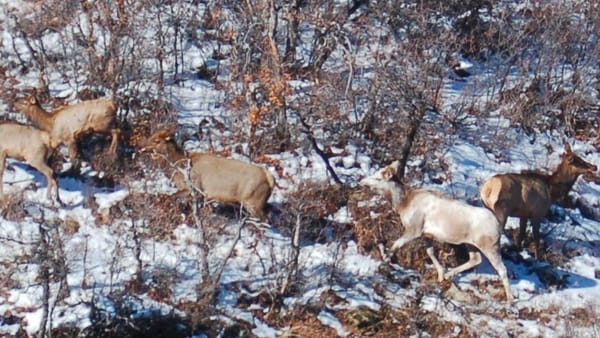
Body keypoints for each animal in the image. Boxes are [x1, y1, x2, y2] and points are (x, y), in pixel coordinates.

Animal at [139, 127, 276, 219]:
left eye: (157, 141)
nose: (141, 147)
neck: (179, 168)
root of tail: (270, 180)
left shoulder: (194, 188)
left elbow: (172, 196)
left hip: (252, 202)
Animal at [358, 161, 512, 302]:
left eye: (378, 177)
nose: (361, 181)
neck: (402, 205)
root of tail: (498, 225)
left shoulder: (414, 229)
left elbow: (396, 244)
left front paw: (385, 259)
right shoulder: (426, 234)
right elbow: (430, 252)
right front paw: (440, 275)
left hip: (490, 246)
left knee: (502, 269)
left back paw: (510, 298)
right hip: (471, 244)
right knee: (475, 259)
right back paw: (449, 274)